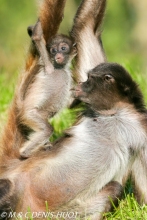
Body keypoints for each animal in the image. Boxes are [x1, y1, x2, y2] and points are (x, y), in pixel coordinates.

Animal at [0, 62, 147, 219]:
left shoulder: (140, 125)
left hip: (60, 212)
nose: (81, 84)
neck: (112, 114)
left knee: (115, 187)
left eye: (89, 80)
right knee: (7, 185)